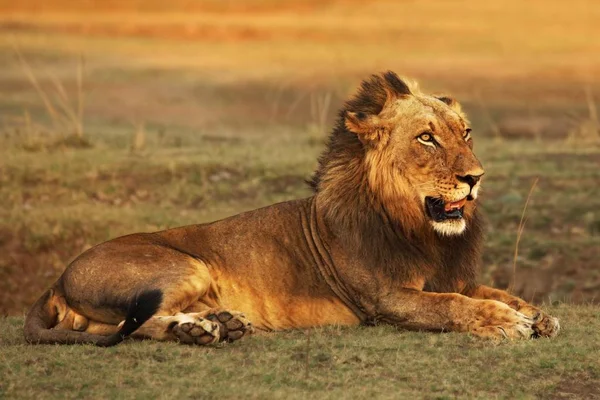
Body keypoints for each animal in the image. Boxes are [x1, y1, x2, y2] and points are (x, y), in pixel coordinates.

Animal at [23, 70, 556, 346]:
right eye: (427, 138)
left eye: (465, 133)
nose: (476, 177)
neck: (418, 227)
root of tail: (58, 278)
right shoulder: (385, 299)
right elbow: (452, 305)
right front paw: (505, 322)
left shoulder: (452, 275)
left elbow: (493, 291)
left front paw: (536, 314)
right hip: (187, 266)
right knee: (134, 325)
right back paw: (198, 330)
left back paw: (224, 323)